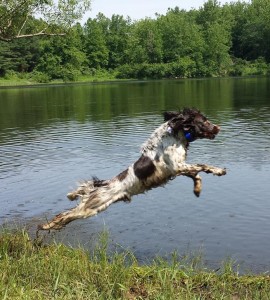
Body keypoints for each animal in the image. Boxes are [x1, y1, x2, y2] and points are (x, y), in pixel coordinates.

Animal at [38, 109, 226, 231]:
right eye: (204, 121)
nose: (218, 127)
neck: (175, 134)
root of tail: (101, 185)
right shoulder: (177, 166)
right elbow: (202, 165)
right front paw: (219, 170)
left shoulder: (178, 169)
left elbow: (196, 174)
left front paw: (197, 190)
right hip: (91, 207)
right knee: (65, 214)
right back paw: (46, 226)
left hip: (95, 207)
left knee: (66, 215)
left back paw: (52, 227)